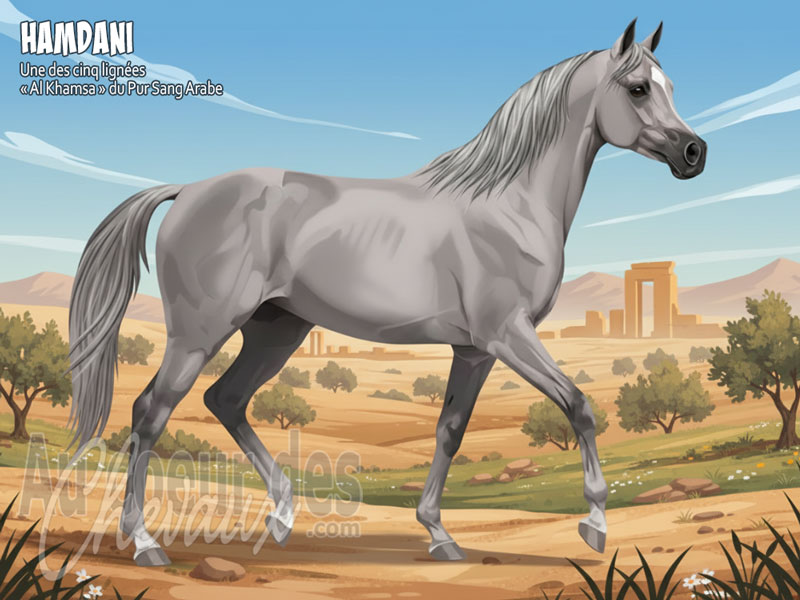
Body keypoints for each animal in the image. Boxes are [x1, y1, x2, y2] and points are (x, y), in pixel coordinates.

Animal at [67, 18, 706, 566]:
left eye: (671, 86)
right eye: (638, 88)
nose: (694, 153)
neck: (509, 204)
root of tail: (188, 191)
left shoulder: (474, 350)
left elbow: (450, 431)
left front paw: (439, 534)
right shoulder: (508, 335)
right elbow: (578, 406)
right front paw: (595, 524)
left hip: (276, 331)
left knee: (225, 399)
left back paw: (282, 516)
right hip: (199, 334)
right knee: (151, 412)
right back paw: (145, 542)